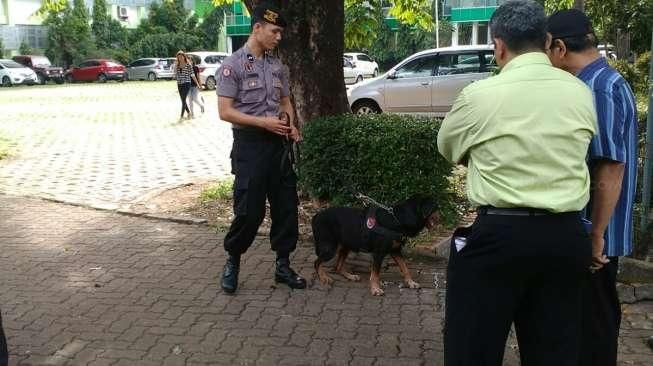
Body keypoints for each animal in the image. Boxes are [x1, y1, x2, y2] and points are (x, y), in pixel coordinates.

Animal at [310, 196, 438, 296]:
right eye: (436, 207)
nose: (440, 217)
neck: (397, 219)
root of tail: (316, 215)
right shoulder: (379, 253)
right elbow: (375, 274)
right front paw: (375, 289)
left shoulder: (395, 251)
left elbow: (405, 268)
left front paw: (411, 283)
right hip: (330, 248)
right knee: (317, 263)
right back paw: (323, 278)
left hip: (346, 246)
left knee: (337, 266)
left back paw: (351, 276)